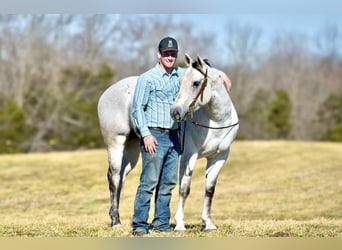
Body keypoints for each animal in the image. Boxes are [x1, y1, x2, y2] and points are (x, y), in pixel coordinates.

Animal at [97, 53, 239, 230]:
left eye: (196, 83)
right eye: (180, 82)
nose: (175, 112)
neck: (216, 121)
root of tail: (106, 93)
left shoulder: (219, 157)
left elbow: (209, 189)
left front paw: (208, 223)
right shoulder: (189, 156)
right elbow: (184, 189)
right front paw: (180, 224)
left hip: (131, 150)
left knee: (121, 178)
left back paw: (114, 217)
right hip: (116, 143)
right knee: (115, 178)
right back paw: (116, 222)